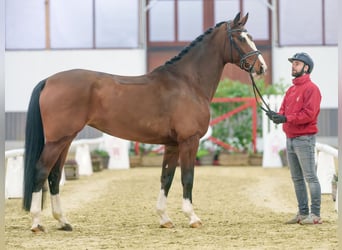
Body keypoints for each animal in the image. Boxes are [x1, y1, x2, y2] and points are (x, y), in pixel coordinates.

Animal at [23, 12, 268, 232]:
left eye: (250, 36)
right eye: (240, 38)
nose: (262, 67)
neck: (187, 82)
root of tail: (48, 80)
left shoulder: (172, 144)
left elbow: (166, 178)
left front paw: (164, 218)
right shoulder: (189, 141)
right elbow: (187, 177)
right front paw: (192, 217)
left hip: (66, 139)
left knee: (54, 176)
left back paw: (63, 222)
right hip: (57, 140)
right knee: (41, 171)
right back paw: (36, 223)